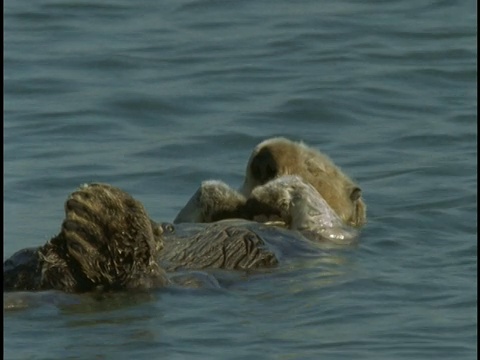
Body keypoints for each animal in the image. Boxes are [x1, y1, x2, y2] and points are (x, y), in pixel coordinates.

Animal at [3, 138, 366, 292]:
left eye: (313, 165)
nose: (264, 161)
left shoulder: (330, 237)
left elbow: (321, 216)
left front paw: (275, 188)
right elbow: (187, 217)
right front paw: (225, 195)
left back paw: (100, 220)